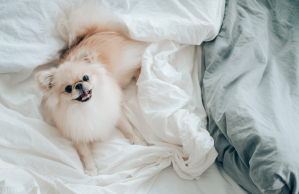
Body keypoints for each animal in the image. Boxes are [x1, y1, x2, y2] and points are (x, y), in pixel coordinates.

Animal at [36, 3, 149, 176]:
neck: (88, 107)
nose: (79, 85)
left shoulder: (115, 112)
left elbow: (128, 129)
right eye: (68, 88)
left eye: (85, 78)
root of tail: (95, 32)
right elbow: (84, 152)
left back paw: (139, 78)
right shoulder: (76, 132)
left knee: (137, 66)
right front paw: (90, 169)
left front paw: (139, 142)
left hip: (125, 68)